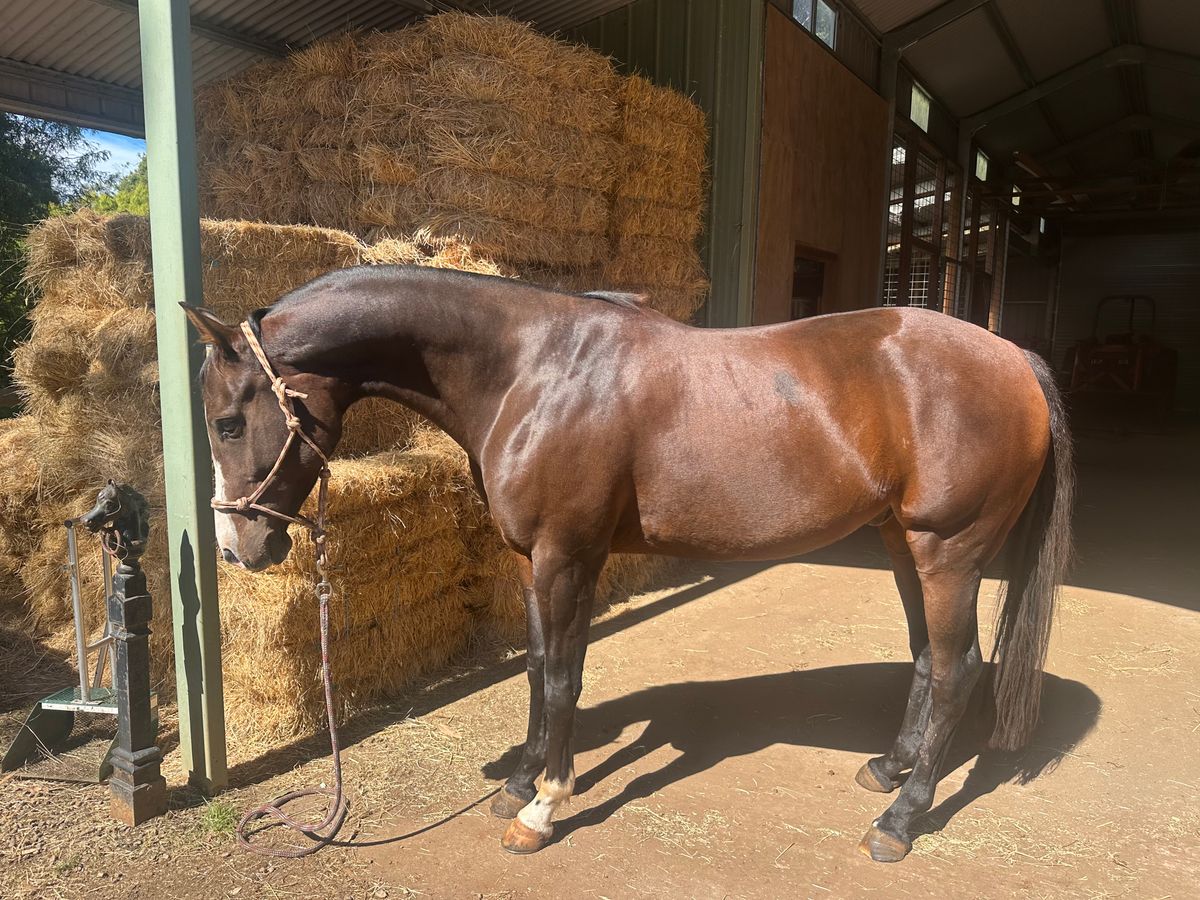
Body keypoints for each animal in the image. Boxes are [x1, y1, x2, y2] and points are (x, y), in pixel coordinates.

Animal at [182, 264, 1072, 863]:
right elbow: (538, 665)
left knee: (959, 671)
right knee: (926, 659)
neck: (533, 370)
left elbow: (563, 677)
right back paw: (889, 770)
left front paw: (542, 807)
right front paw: (521, 780)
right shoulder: (530, 559)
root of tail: (1015, 358)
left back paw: (900, 820)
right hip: (902, 544)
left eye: (227, 422)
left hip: (949, 553)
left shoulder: (566, 556)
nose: (238, 548)